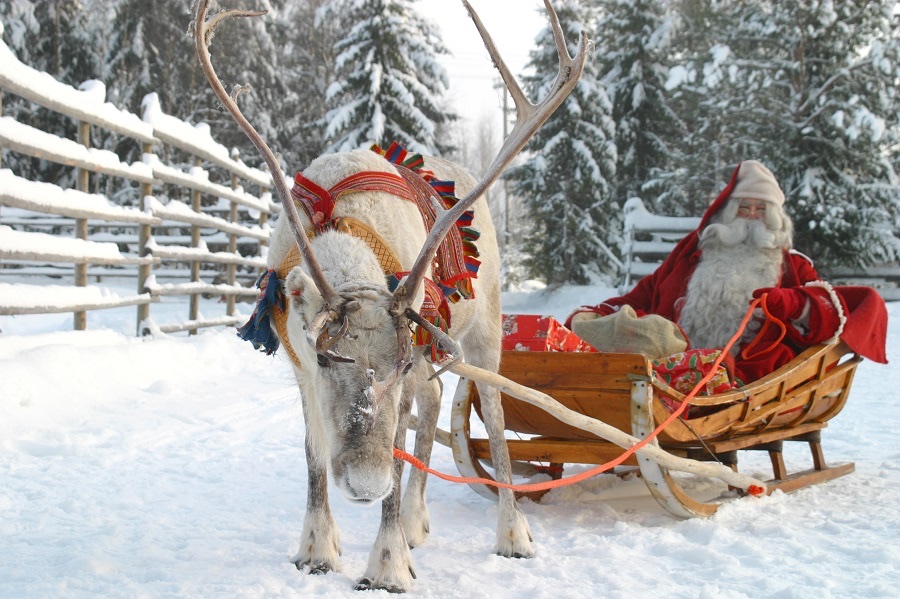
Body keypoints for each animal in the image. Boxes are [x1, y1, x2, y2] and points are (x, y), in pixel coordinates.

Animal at [192, 0, 587, 592]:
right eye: (328, 358)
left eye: (393, 365)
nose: (364, 484)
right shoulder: (300, 366)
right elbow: (314, 457)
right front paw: (317, 549)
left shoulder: (410, 358)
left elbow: (400, 457)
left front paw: (386, 564)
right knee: (434, 400)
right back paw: (416, 522)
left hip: (483, 327)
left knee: (492, 417)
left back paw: (510, 533)